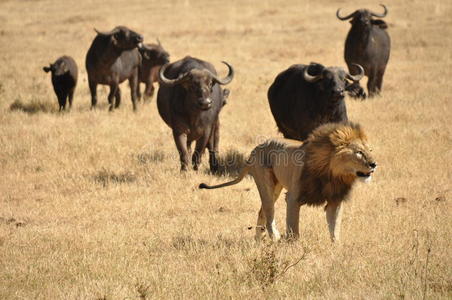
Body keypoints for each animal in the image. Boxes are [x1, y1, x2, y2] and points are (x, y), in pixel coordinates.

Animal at [200, 122, 376, 241]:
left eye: (369, 150)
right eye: (359, 153)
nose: (374, 164)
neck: (332, 174)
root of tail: (255, 149)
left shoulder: (335, 200)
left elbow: (335, 228)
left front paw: (336, 249)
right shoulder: (293, 198)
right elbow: (293, 227)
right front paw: (293, 248)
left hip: (276, 187)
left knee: (261, 212)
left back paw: (258, 240)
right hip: (266, 183)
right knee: (269, 213)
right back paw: (275, 237)